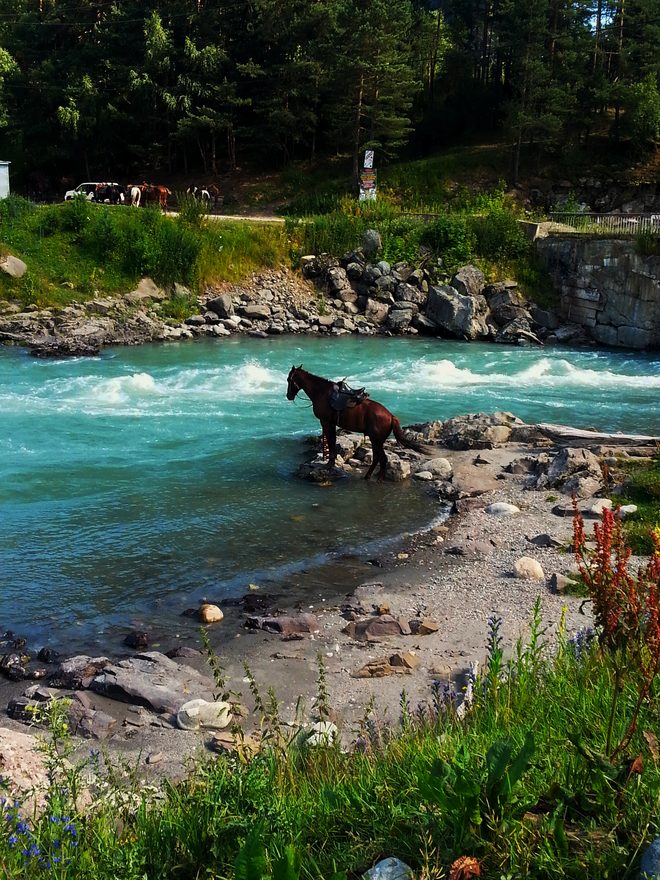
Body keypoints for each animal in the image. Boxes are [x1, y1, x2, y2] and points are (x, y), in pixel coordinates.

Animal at [284, 364, 428, 482]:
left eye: (289, 379)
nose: (288, 396)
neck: (321, 393)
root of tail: (391, 416)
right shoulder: (329, 424)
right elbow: (331, 442)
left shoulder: (326, 422)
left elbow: (330, 442)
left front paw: (329, 464)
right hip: (377, 440)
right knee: (377, 458)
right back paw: (368, 476)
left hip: (376, 440)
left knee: (382, 459)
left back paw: (378, 479)